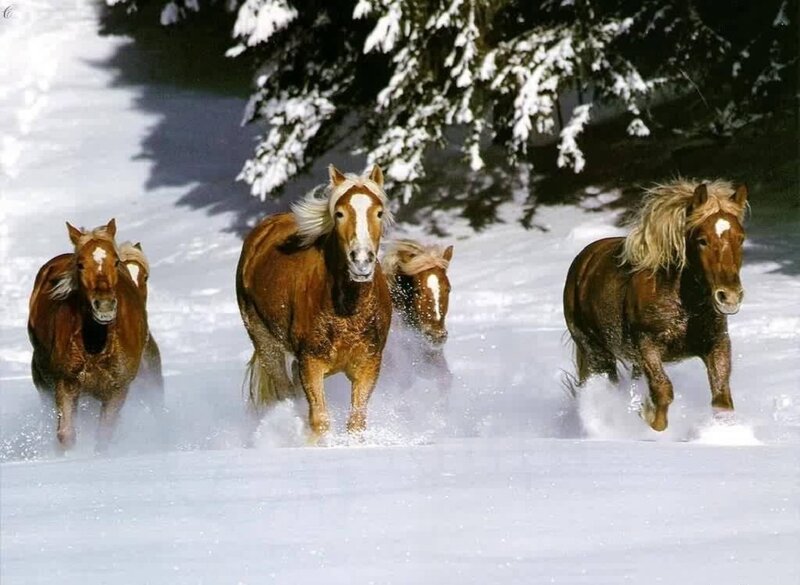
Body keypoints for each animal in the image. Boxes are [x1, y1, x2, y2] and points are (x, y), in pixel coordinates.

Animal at [28, 219, 148, 450]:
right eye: (81, 264)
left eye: (116, 262)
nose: (104, 306)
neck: (96, 345)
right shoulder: (66, 383)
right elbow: (66, 434)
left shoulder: (118, 389)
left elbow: (103, 436)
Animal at [236, 164, 394, 439]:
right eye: (339, 213)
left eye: (379, 212)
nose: (361, 261)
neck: (348, 313)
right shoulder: (311, 364)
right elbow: (320, 420)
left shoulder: (369, 364)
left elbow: (356, 422)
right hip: (265, 343)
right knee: (285, 391)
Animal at [563, 180, 748, 431]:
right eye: (702, 240)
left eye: (741, 238)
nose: (729, 297)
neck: (685, 306)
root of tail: (582, 261)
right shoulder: (647, 346)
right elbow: (663, 391)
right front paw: (647, 416)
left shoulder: (717, 343)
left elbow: (722, 400)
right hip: (595, 350)